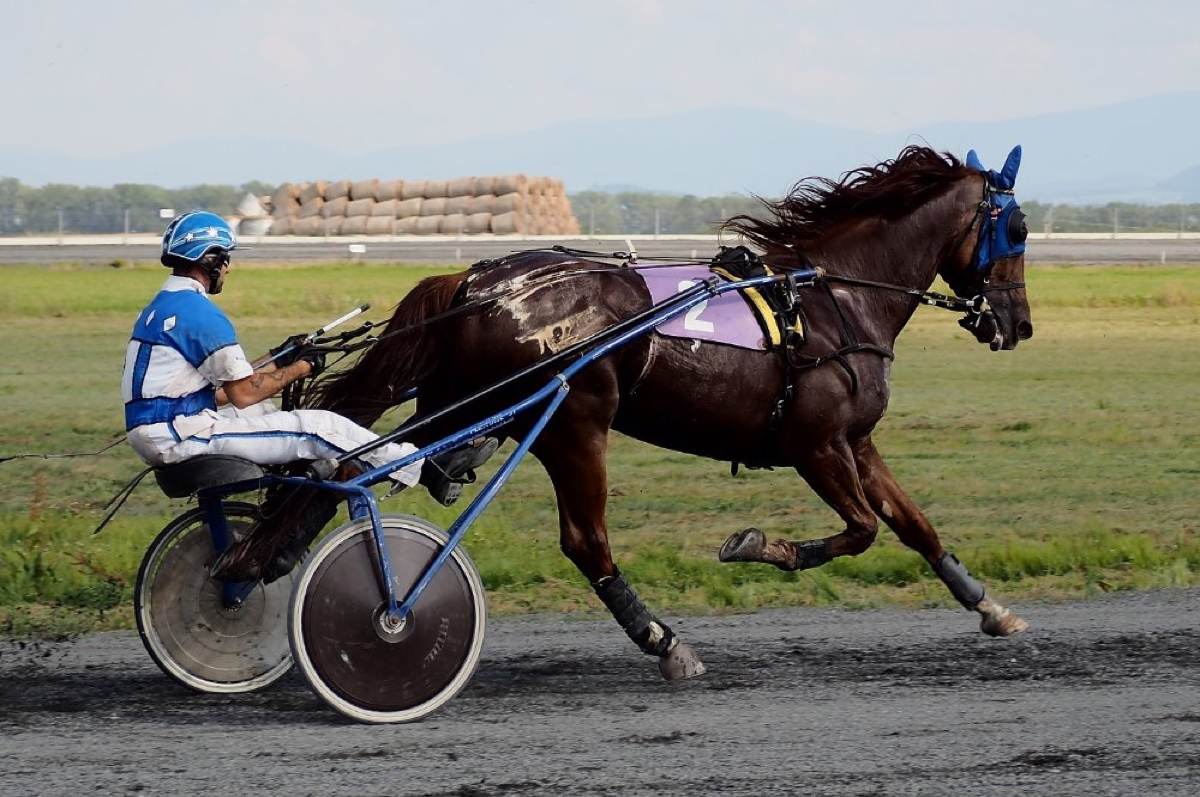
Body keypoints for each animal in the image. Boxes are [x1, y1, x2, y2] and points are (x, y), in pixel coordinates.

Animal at [309, 144, 1032, 676]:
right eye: (1017, 230)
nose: (1017, 324)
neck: (834, 300)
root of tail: (476, 281)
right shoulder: (816, 445)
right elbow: (860, 530)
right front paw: (756, 545)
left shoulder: (857, 441)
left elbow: (914, 525)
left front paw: (988, 604)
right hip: (575, 423)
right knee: (585, 540)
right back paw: (664, 642)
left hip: (467, 400)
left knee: (391, 459)